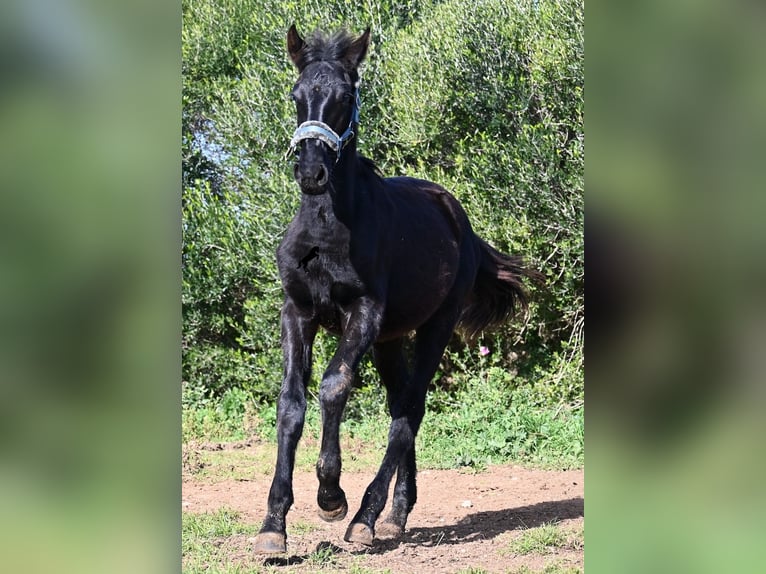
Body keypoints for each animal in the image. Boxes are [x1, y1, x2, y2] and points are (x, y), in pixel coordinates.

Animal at [255, 27, 536, 560]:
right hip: (389, 340)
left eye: (346, 98)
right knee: (400, 404)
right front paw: (272, 526)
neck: (326, 230)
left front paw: (331, 498)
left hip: (435, 326)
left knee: (411, 408)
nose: (311, 173)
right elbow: (290, 404)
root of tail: (459, 220)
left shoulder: (363, 311)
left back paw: (366, 517)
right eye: (296, 96)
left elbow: (334, 386)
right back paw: (396, 514)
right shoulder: (297, 312)